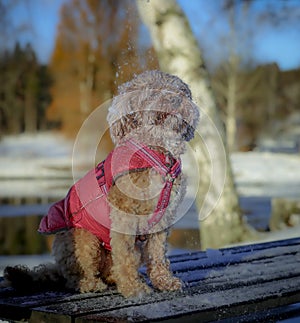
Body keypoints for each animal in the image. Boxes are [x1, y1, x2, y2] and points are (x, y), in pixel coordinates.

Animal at [2, 71, 200, 298]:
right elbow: (125, 256)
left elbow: (158, 254)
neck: (154, 153)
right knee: (77, 276)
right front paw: (133, 289)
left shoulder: (162, 219)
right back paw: (91, 284)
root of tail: (57, 268)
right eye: (152, 92)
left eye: (179, 90)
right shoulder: (124, 216)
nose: (175, 100)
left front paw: (164, 281)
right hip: (84, 239)